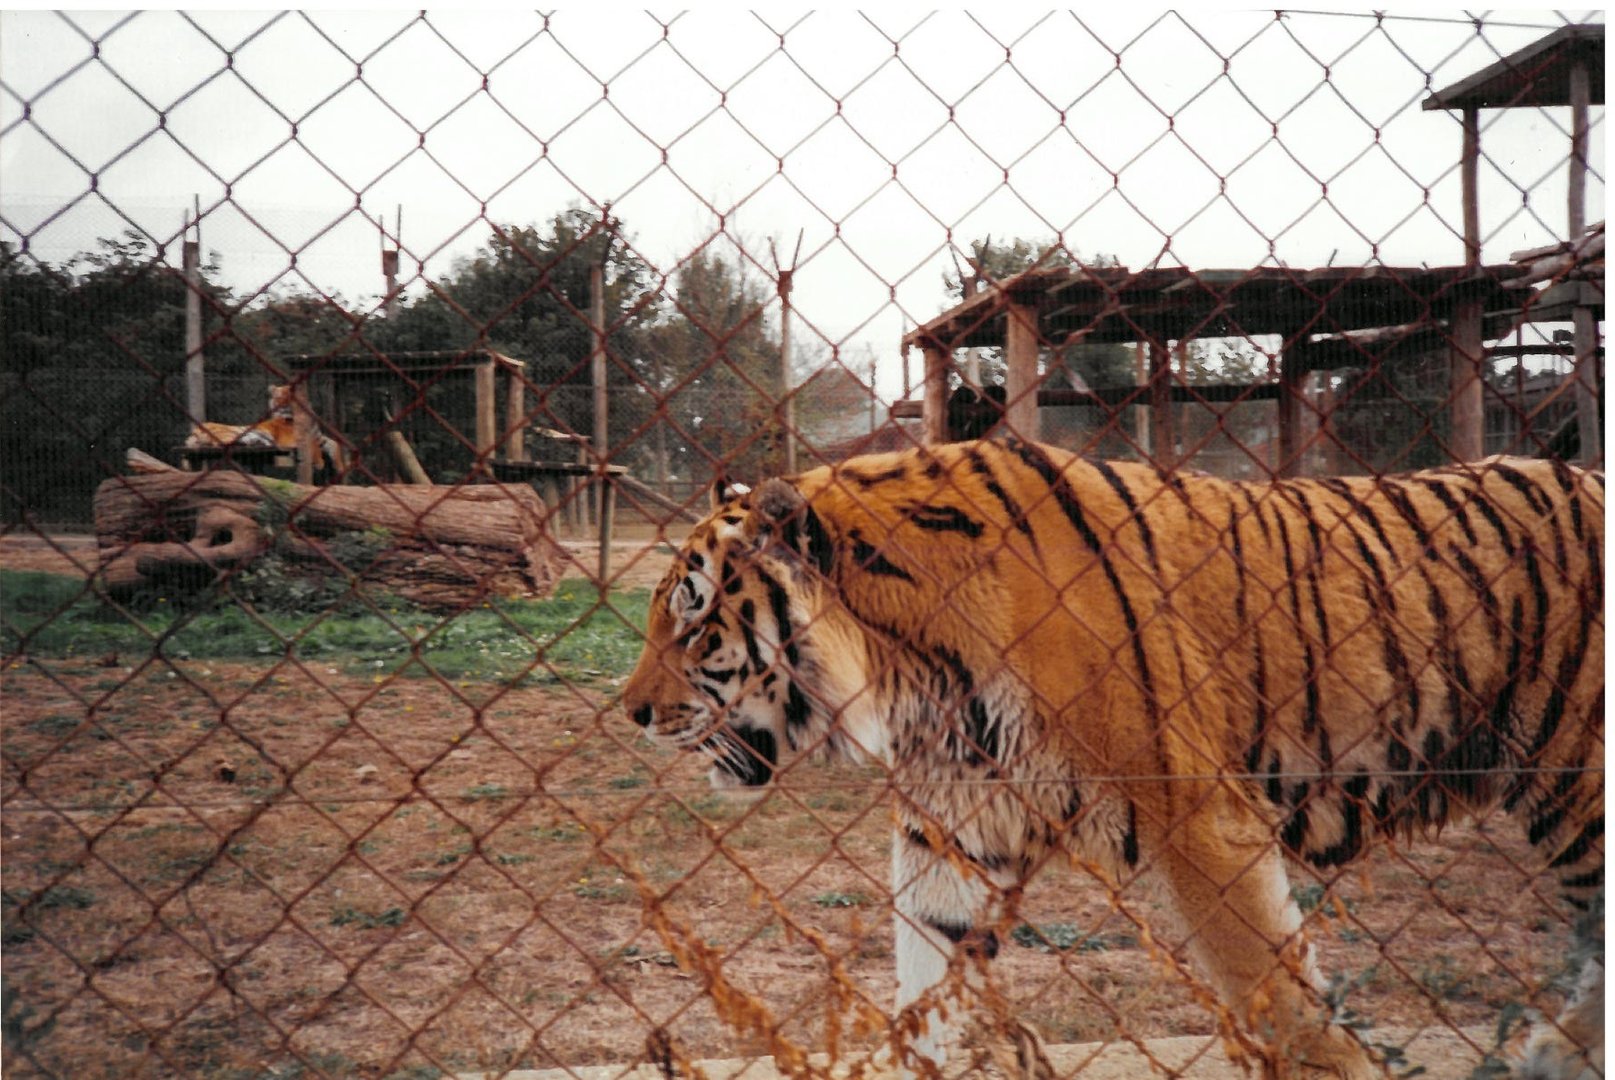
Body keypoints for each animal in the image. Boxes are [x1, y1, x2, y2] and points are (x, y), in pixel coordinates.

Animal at [621, 438, 1604, 1079]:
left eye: (692, 618)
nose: (630, 711)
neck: (910, 670)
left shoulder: (1197, 810)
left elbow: (1274, 990)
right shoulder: (955, 825)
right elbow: (926, 980)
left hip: (1575, 781)